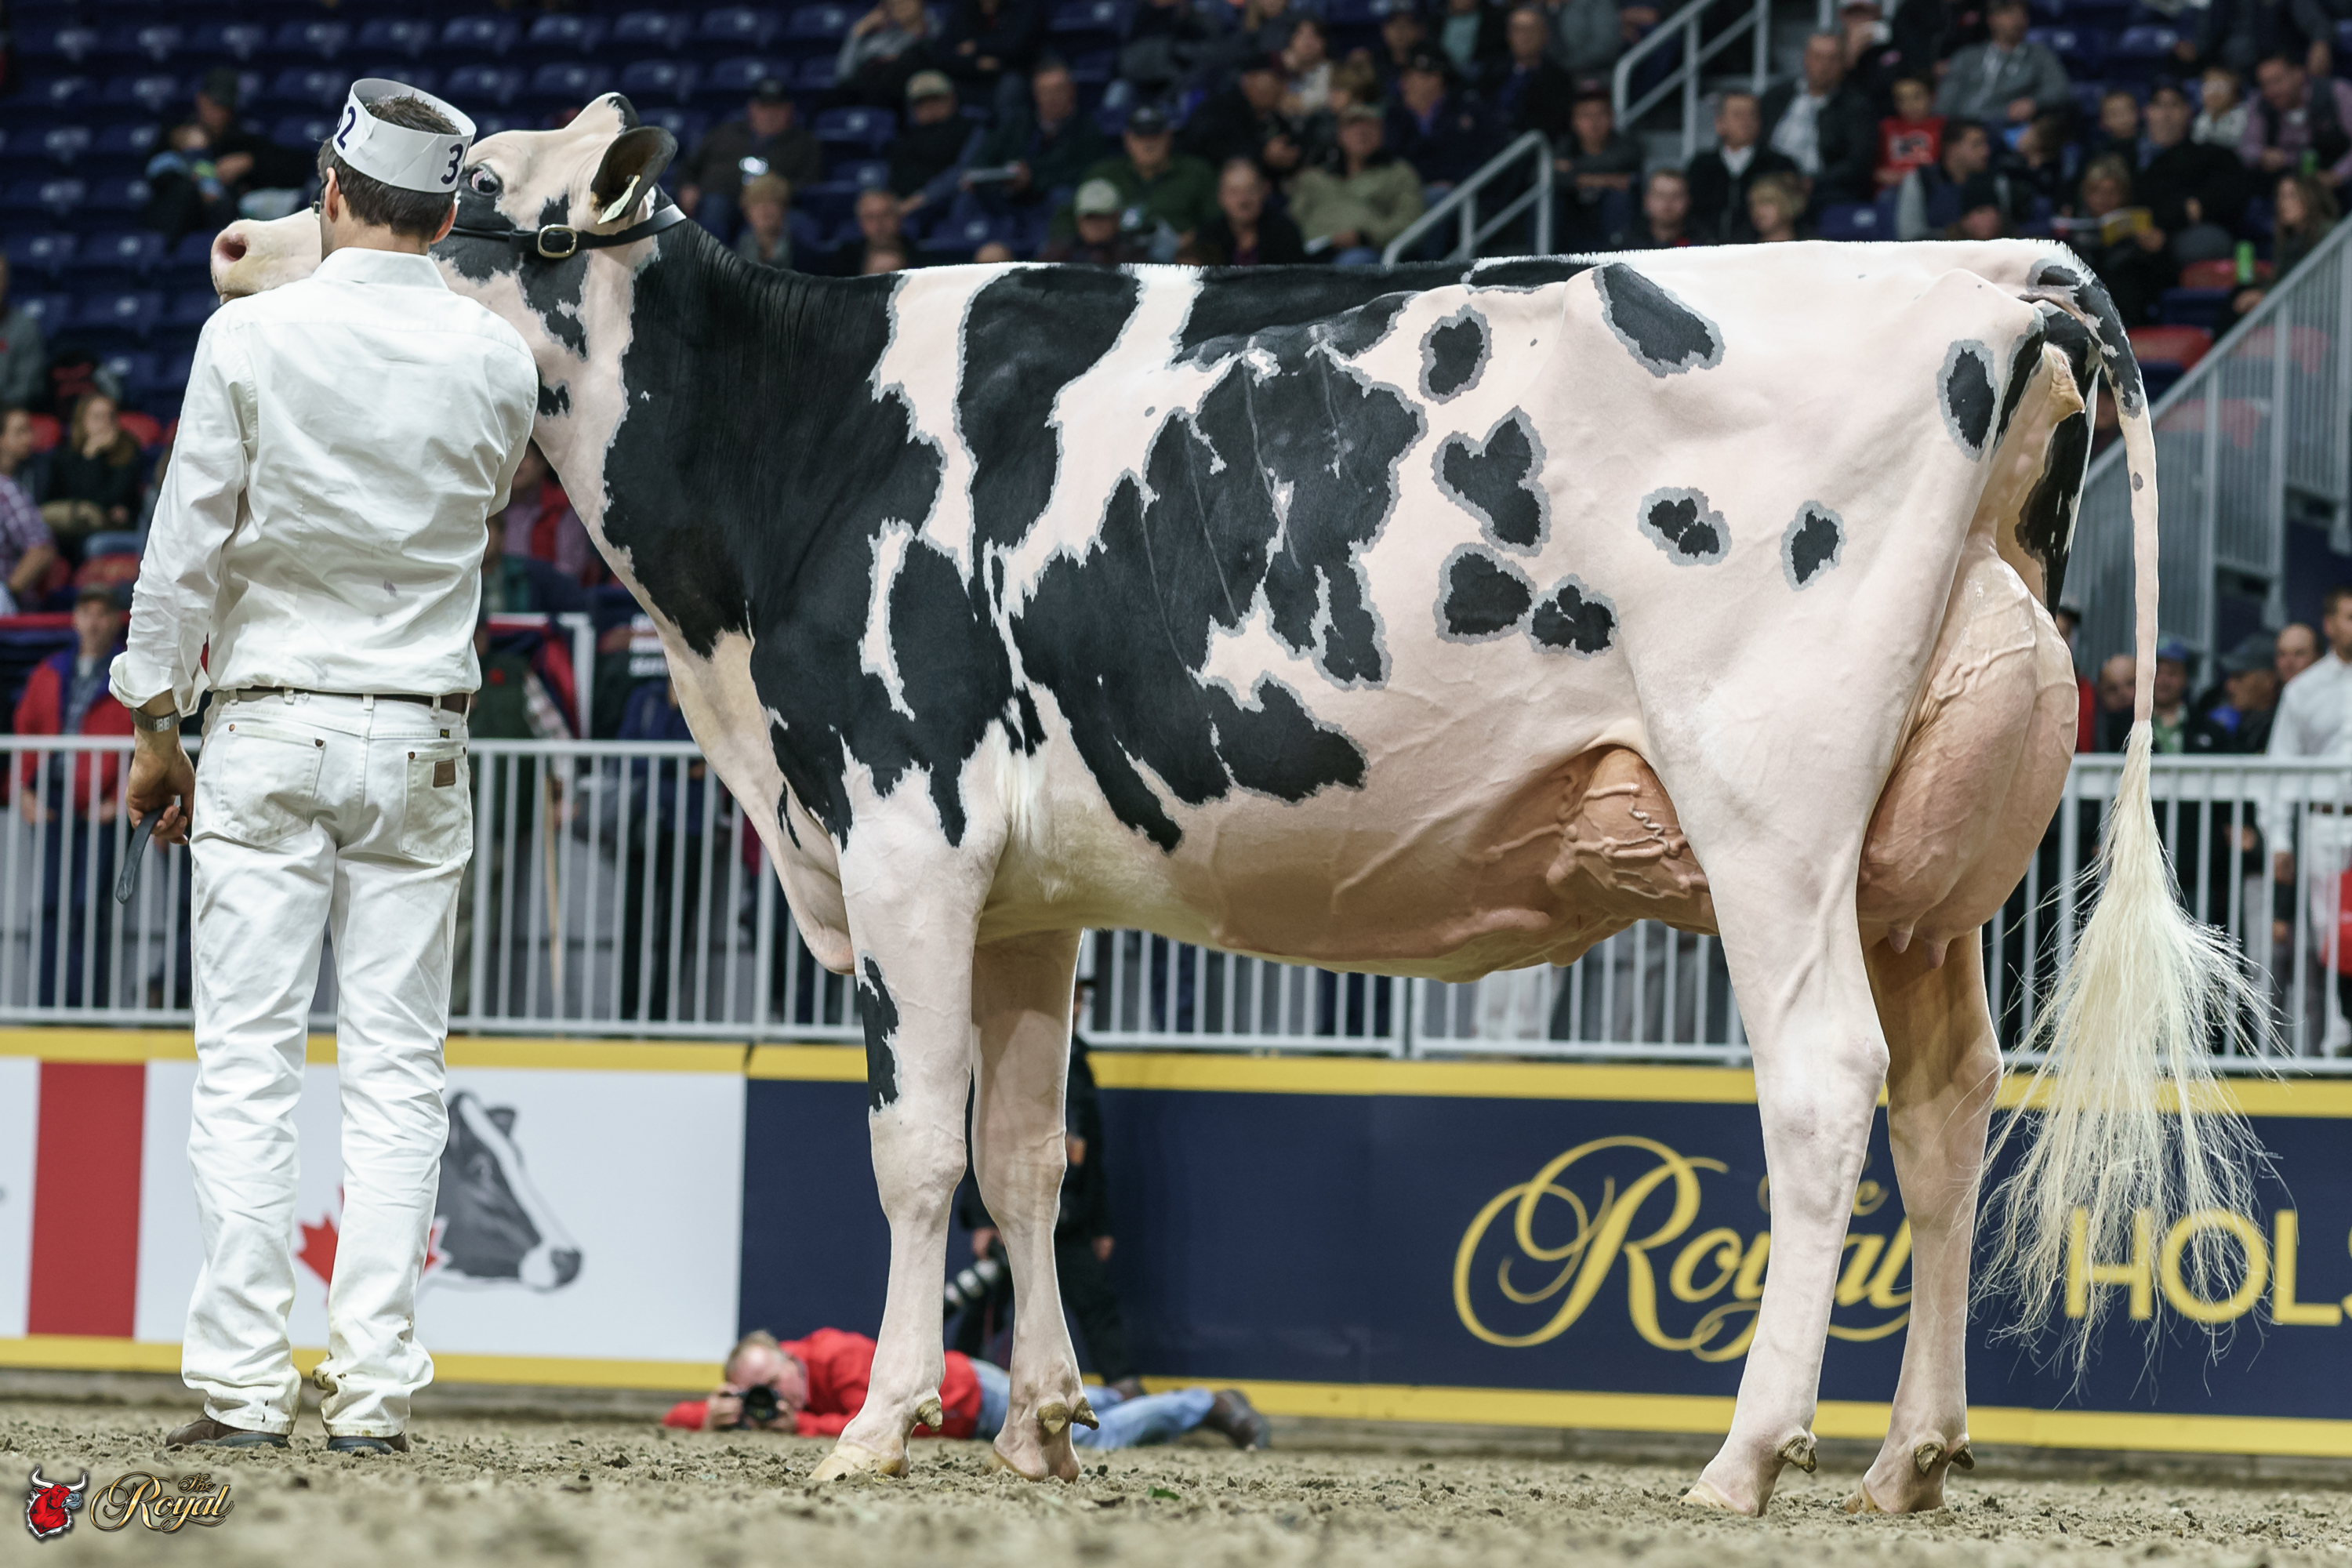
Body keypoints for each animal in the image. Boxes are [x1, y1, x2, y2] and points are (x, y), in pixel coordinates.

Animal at [213, 94, 2256, 1515]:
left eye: (459, 191)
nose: (232, 242)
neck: (790, 453)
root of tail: (1982, 269)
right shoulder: (1027, 889)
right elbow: (1026, 1152)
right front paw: (1037, 1424)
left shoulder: (899, 825)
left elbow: (912, 1144)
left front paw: (879, 1426)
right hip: (1930, 867)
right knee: (1945, 1112)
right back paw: (1911, 1452)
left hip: (1769, 811)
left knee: (1824, 1088)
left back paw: (1747, 1452)